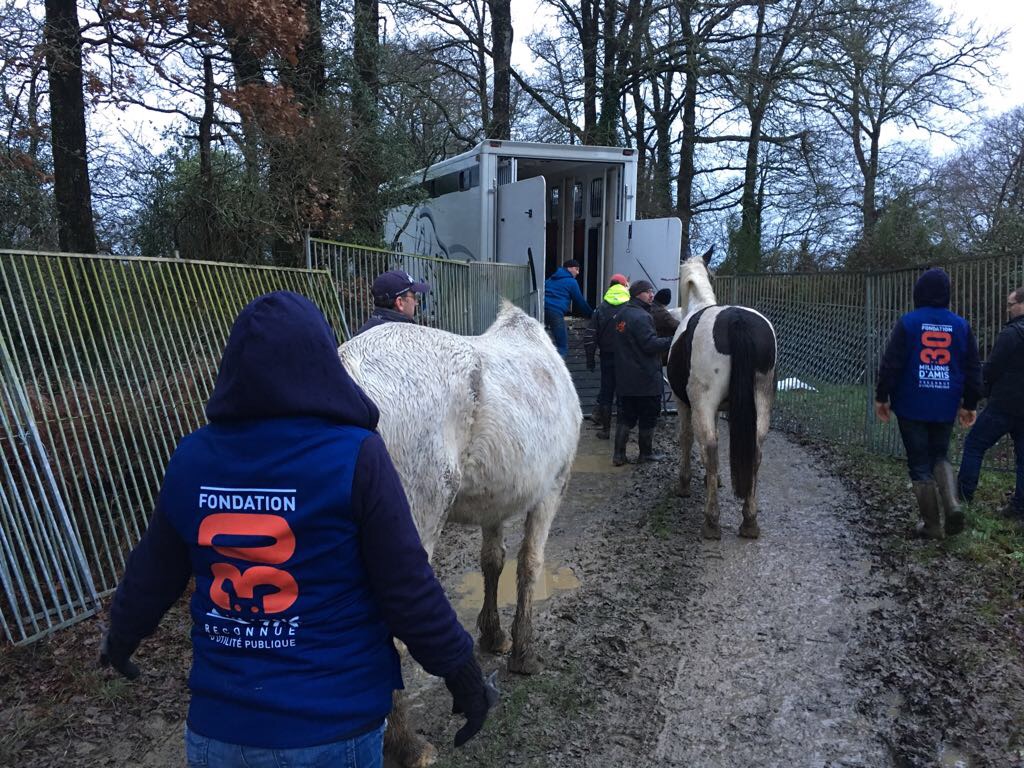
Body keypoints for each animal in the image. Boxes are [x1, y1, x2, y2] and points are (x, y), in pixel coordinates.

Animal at [335, 303, 577, 765]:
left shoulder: (494, 503)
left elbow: (493, 562)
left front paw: (494, 636)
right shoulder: (552, 489)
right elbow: (529, 565)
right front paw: (524, 653)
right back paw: (408, 746)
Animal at [663, 252, 774, 540]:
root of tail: (737, 320)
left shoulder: (685, 404)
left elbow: (688, 438)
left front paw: (685, 483)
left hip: (703, 402)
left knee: (710, 448)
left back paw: (712, 521)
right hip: (761, 400)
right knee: (755, 450)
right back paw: (749, 521)